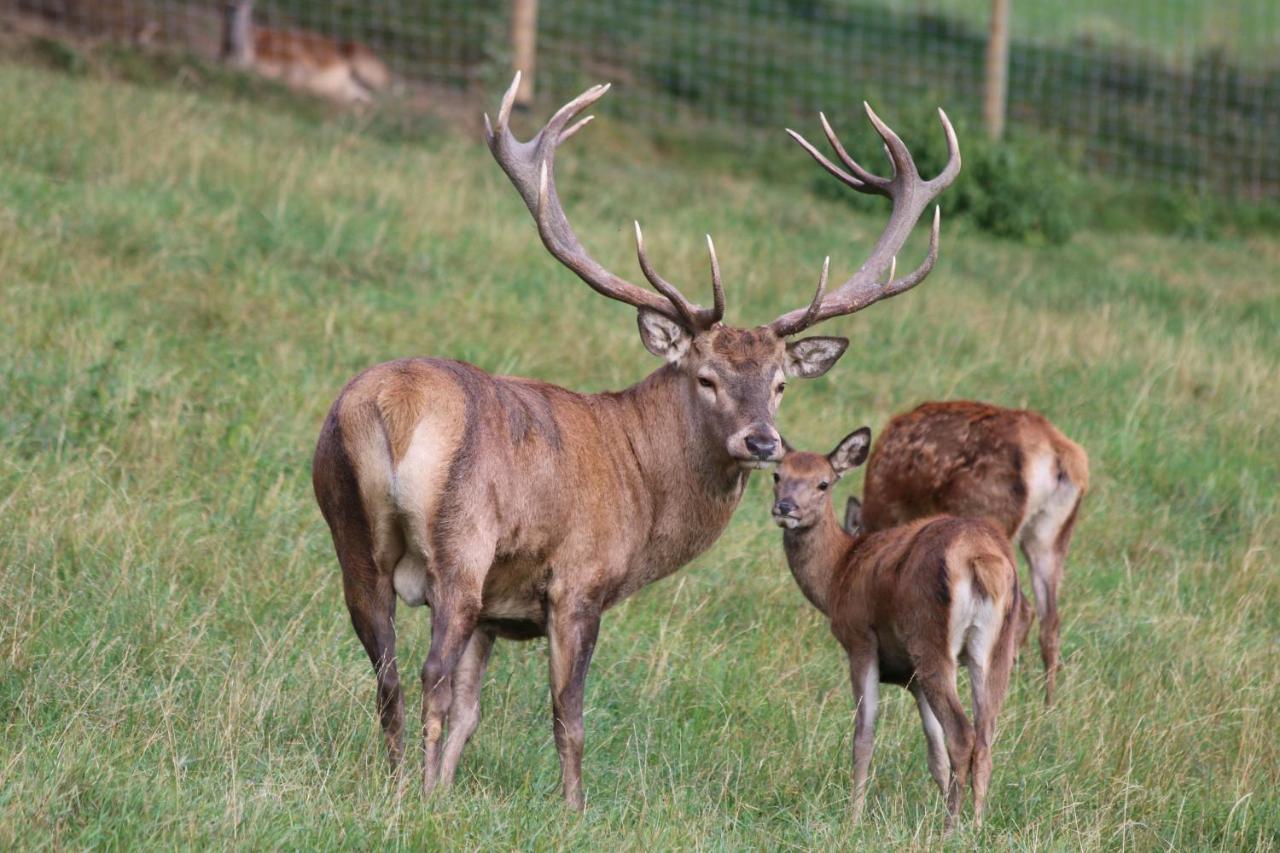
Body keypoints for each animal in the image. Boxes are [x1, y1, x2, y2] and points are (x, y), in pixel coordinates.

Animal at [312, 74, 962, 804]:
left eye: (779, 383)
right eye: (706, 377)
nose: (762, 442)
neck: (643, 486)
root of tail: (390, 407)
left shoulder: (499, 612)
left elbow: (472, 713)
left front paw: (448, 789)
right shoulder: (578, 581)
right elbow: (566, 714)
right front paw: (571, 807)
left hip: (348, 529)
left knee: (389, 673)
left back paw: (397, 783)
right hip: (463, 544)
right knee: (430, 672)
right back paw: (412, 793)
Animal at [768, 427, 1018, 824]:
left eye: (823, 483)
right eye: (778, 475)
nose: (785, 508)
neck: (838, 573)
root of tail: (981, 557)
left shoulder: (859, 639)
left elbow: (864, 735)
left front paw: (852, 818)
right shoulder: (912, 678)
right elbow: (934, 751)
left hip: (929, 637)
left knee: (962, 734)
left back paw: (951, 827)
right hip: (998, 645)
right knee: (985, 736)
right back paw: (977, 823)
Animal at [839, 402, 1090, 701]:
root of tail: (1056, 455)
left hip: (990, 519)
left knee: (1022, 610)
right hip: (1051, 534)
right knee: (1049, 620)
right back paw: (1048, 703)